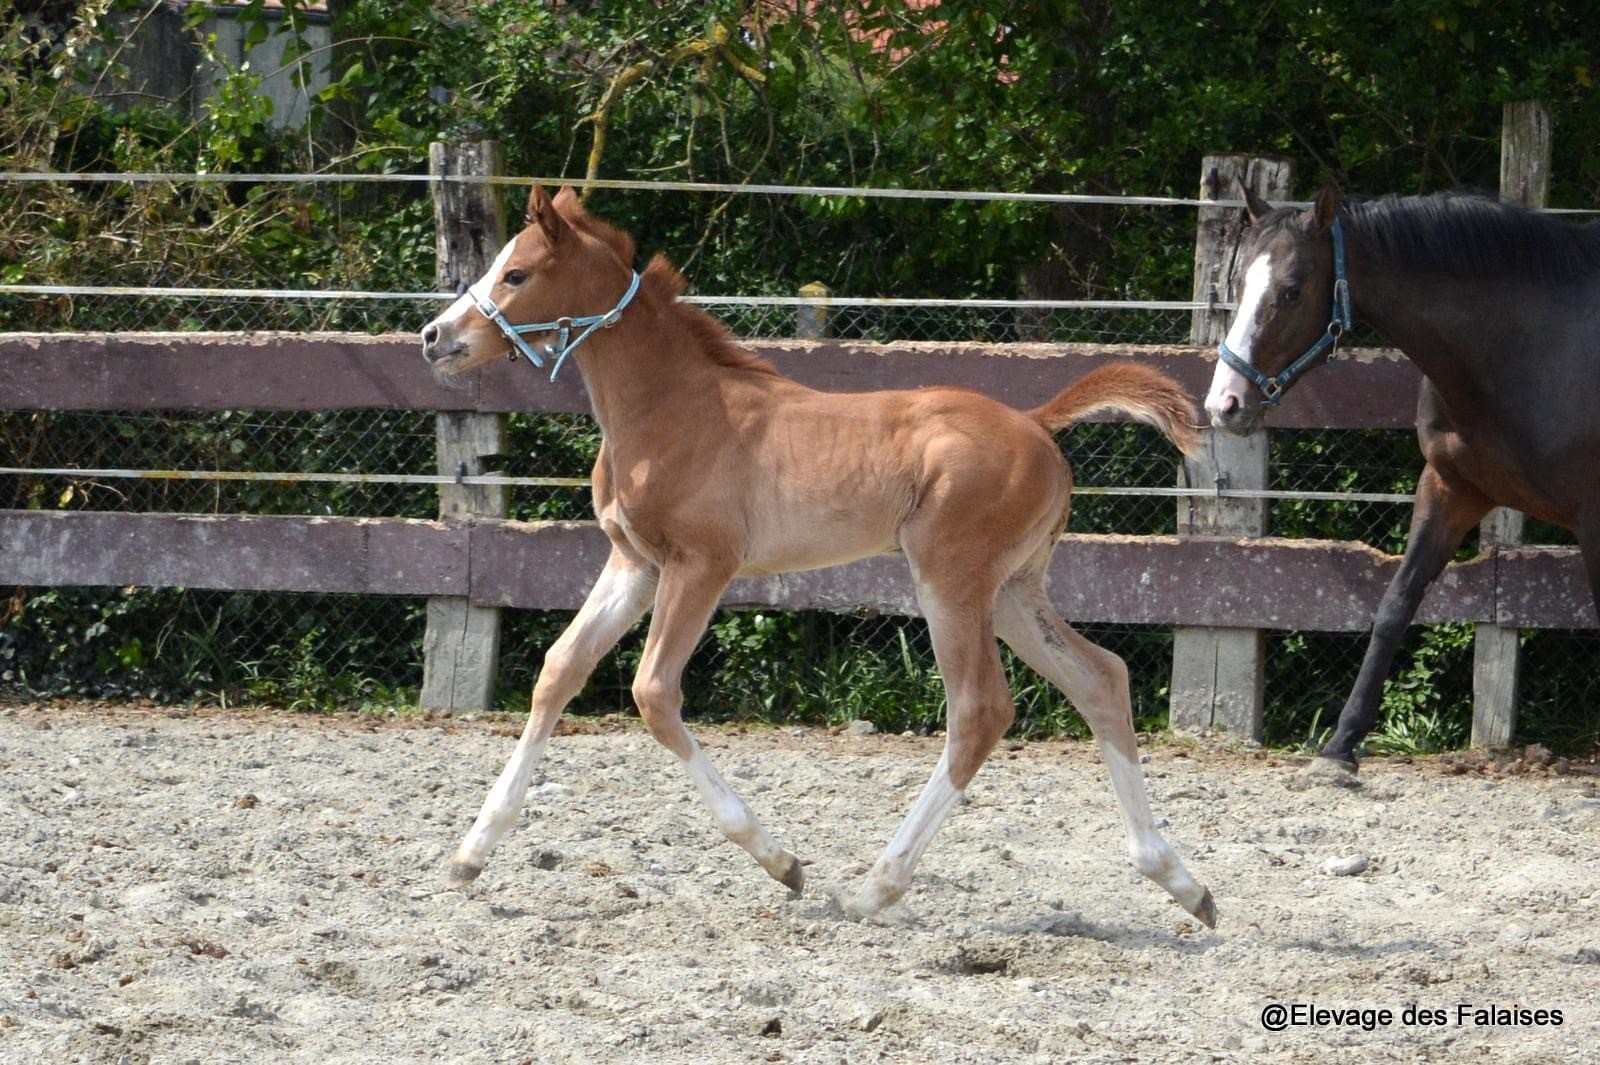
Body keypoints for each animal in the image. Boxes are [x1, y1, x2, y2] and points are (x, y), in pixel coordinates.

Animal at [419, 186, 1216, 927]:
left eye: (516, 273)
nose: (434, 337)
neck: (671, 408)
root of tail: (1037, 421)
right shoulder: (634, 564)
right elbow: (559, 671)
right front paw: (468, 855)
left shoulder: (700, 566)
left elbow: (653, 693)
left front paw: (782, 862)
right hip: (1015, 589)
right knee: (1101, 679)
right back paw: (1183, 882)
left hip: (951, 580)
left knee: (980, 709)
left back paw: (873, 889)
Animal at [1203, 186, 1593, 770]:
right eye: (1238, 283)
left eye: (1292, 291)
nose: (1224, 404)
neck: (1528, 348)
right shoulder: (1450, 489)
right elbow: (1395, 604)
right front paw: (1340, 746)